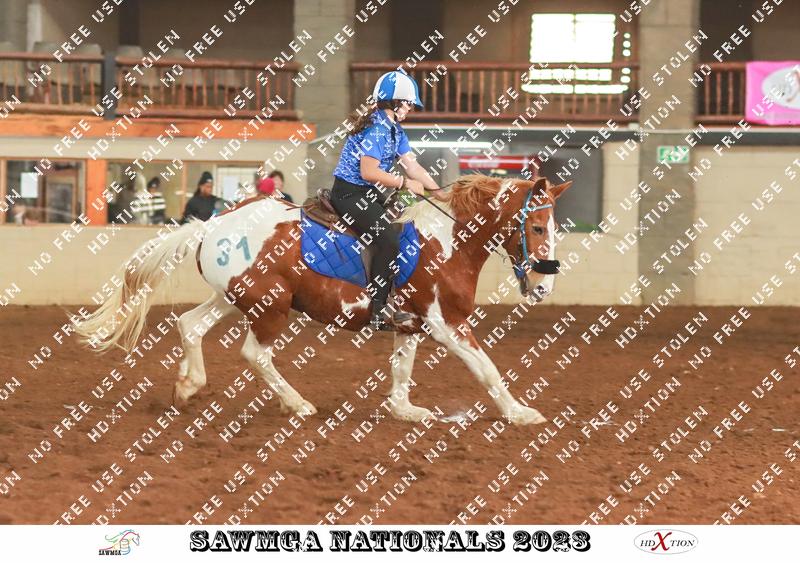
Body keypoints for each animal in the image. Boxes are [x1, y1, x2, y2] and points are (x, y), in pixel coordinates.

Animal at [73, 174, 570, 426]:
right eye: (537, 226)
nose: (544, 285)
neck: (446, 241)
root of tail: (213, 223)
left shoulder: (411, 324)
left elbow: (402, 367)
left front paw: (404, 409)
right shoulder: (448, 324)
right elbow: (487, 369)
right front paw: (520, 413)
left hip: (233, 298)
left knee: (189, 326)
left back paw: (188, 385)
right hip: (270, 306)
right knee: (254, 354)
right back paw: (296, 404)